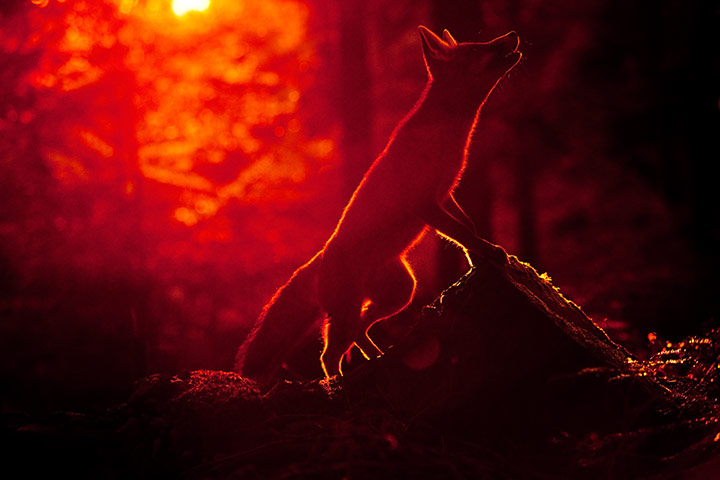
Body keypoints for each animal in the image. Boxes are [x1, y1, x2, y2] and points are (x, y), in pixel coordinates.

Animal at [235, 26, 522, 387]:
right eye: (475, 49)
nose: (512, 35)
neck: (446, 135)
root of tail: (318, 260)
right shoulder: (422, 202)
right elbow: (461, 232)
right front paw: (487, 252)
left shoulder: (445, 194)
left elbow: (466, 229)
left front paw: (479, 258)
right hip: (353, 311)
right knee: (330, 353)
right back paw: (337, 384)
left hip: (400, 292)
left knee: (360, 330)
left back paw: (378, 358)